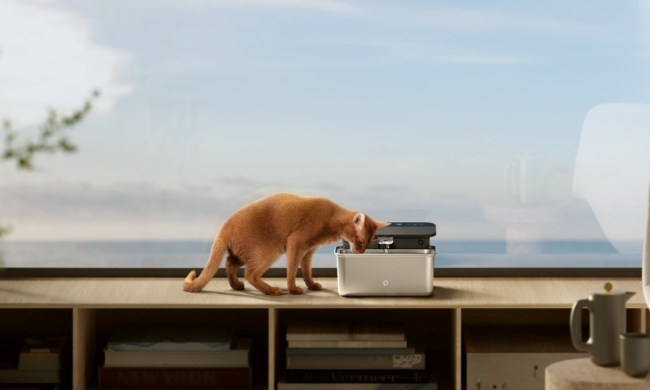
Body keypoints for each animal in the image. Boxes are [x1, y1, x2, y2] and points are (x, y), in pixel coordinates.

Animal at [182, 192, 384, 296]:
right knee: (250, 273)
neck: (331, 219)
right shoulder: (295, 243)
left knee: (229, 263)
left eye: (368, 243)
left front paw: (311, 285)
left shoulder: (308, 251)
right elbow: (293, 269)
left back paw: (237, 285)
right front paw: (293, 289)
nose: (360, 252)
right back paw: (271, 290)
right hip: (268, 250)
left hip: (243, 252)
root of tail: (225, 226)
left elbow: (307, 270)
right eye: (360, 241)